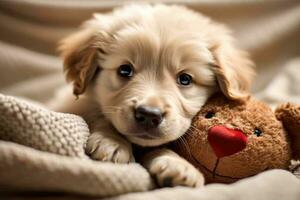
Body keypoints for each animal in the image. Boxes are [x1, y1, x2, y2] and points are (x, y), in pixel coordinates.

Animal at [48, 4, 253, 188]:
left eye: (185, 79)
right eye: (125, 70)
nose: (148, 114)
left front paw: (178, 165)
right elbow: (97, 115)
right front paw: (112, 142)